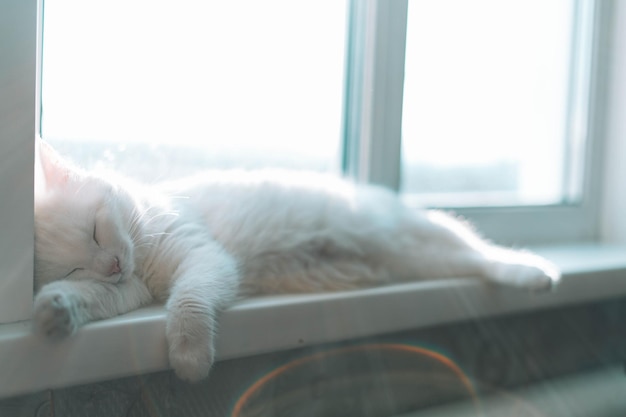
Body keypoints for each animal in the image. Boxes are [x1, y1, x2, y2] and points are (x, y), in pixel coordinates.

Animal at [31, 142, 560, 380]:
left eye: (96, 228)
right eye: (76, 265)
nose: (113, 266)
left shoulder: (203, 258)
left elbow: (188, 305)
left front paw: (190, 359)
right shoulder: (131, 290)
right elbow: (92, 299)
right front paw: (55, 311)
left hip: (416, 233)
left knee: (484, 251)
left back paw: (535, 273)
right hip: (418, 259)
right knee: (466, 260)